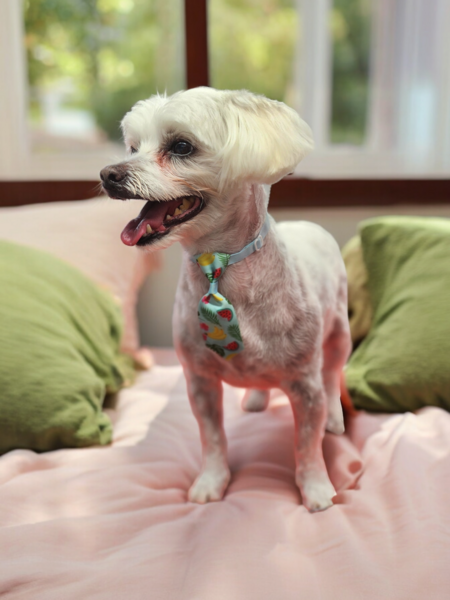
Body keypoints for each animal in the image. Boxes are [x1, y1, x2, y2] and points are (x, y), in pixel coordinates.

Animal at [100, 87, 351, 512]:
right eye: (133, 147)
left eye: (181, 146)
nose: (108, 174)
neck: (217, 266)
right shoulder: (199, 382)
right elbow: (212, 438)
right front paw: (211, 481)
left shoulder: (306, 385)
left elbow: (307, 443)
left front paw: (316, 488)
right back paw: (256, 397)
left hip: (338, 334)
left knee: (333, 376)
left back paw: (334, 416)